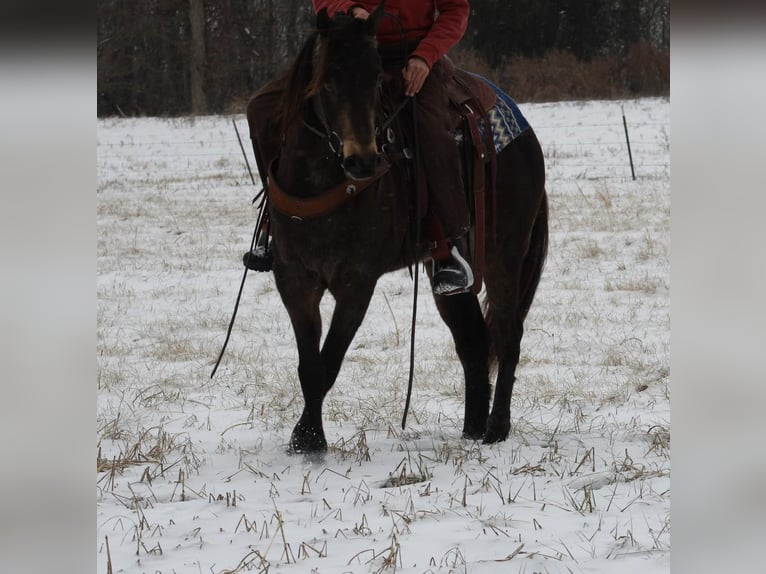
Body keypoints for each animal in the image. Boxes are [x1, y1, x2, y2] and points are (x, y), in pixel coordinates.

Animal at [255, 3, 548, 454]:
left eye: (376, 79)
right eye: (328, 80)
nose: (363, 161)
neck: (321, 179)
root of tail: (524, 134)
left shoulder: (357, 282)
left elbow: (328, 362)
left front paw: (309, 439)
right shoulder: (294, 279)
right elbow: (309, 365)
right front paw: (305, 440)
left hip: (505, 253)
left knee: (507, 332)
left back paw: (496, 429)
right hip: (450, 271)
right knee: (473, 341)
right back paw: (472, 428)